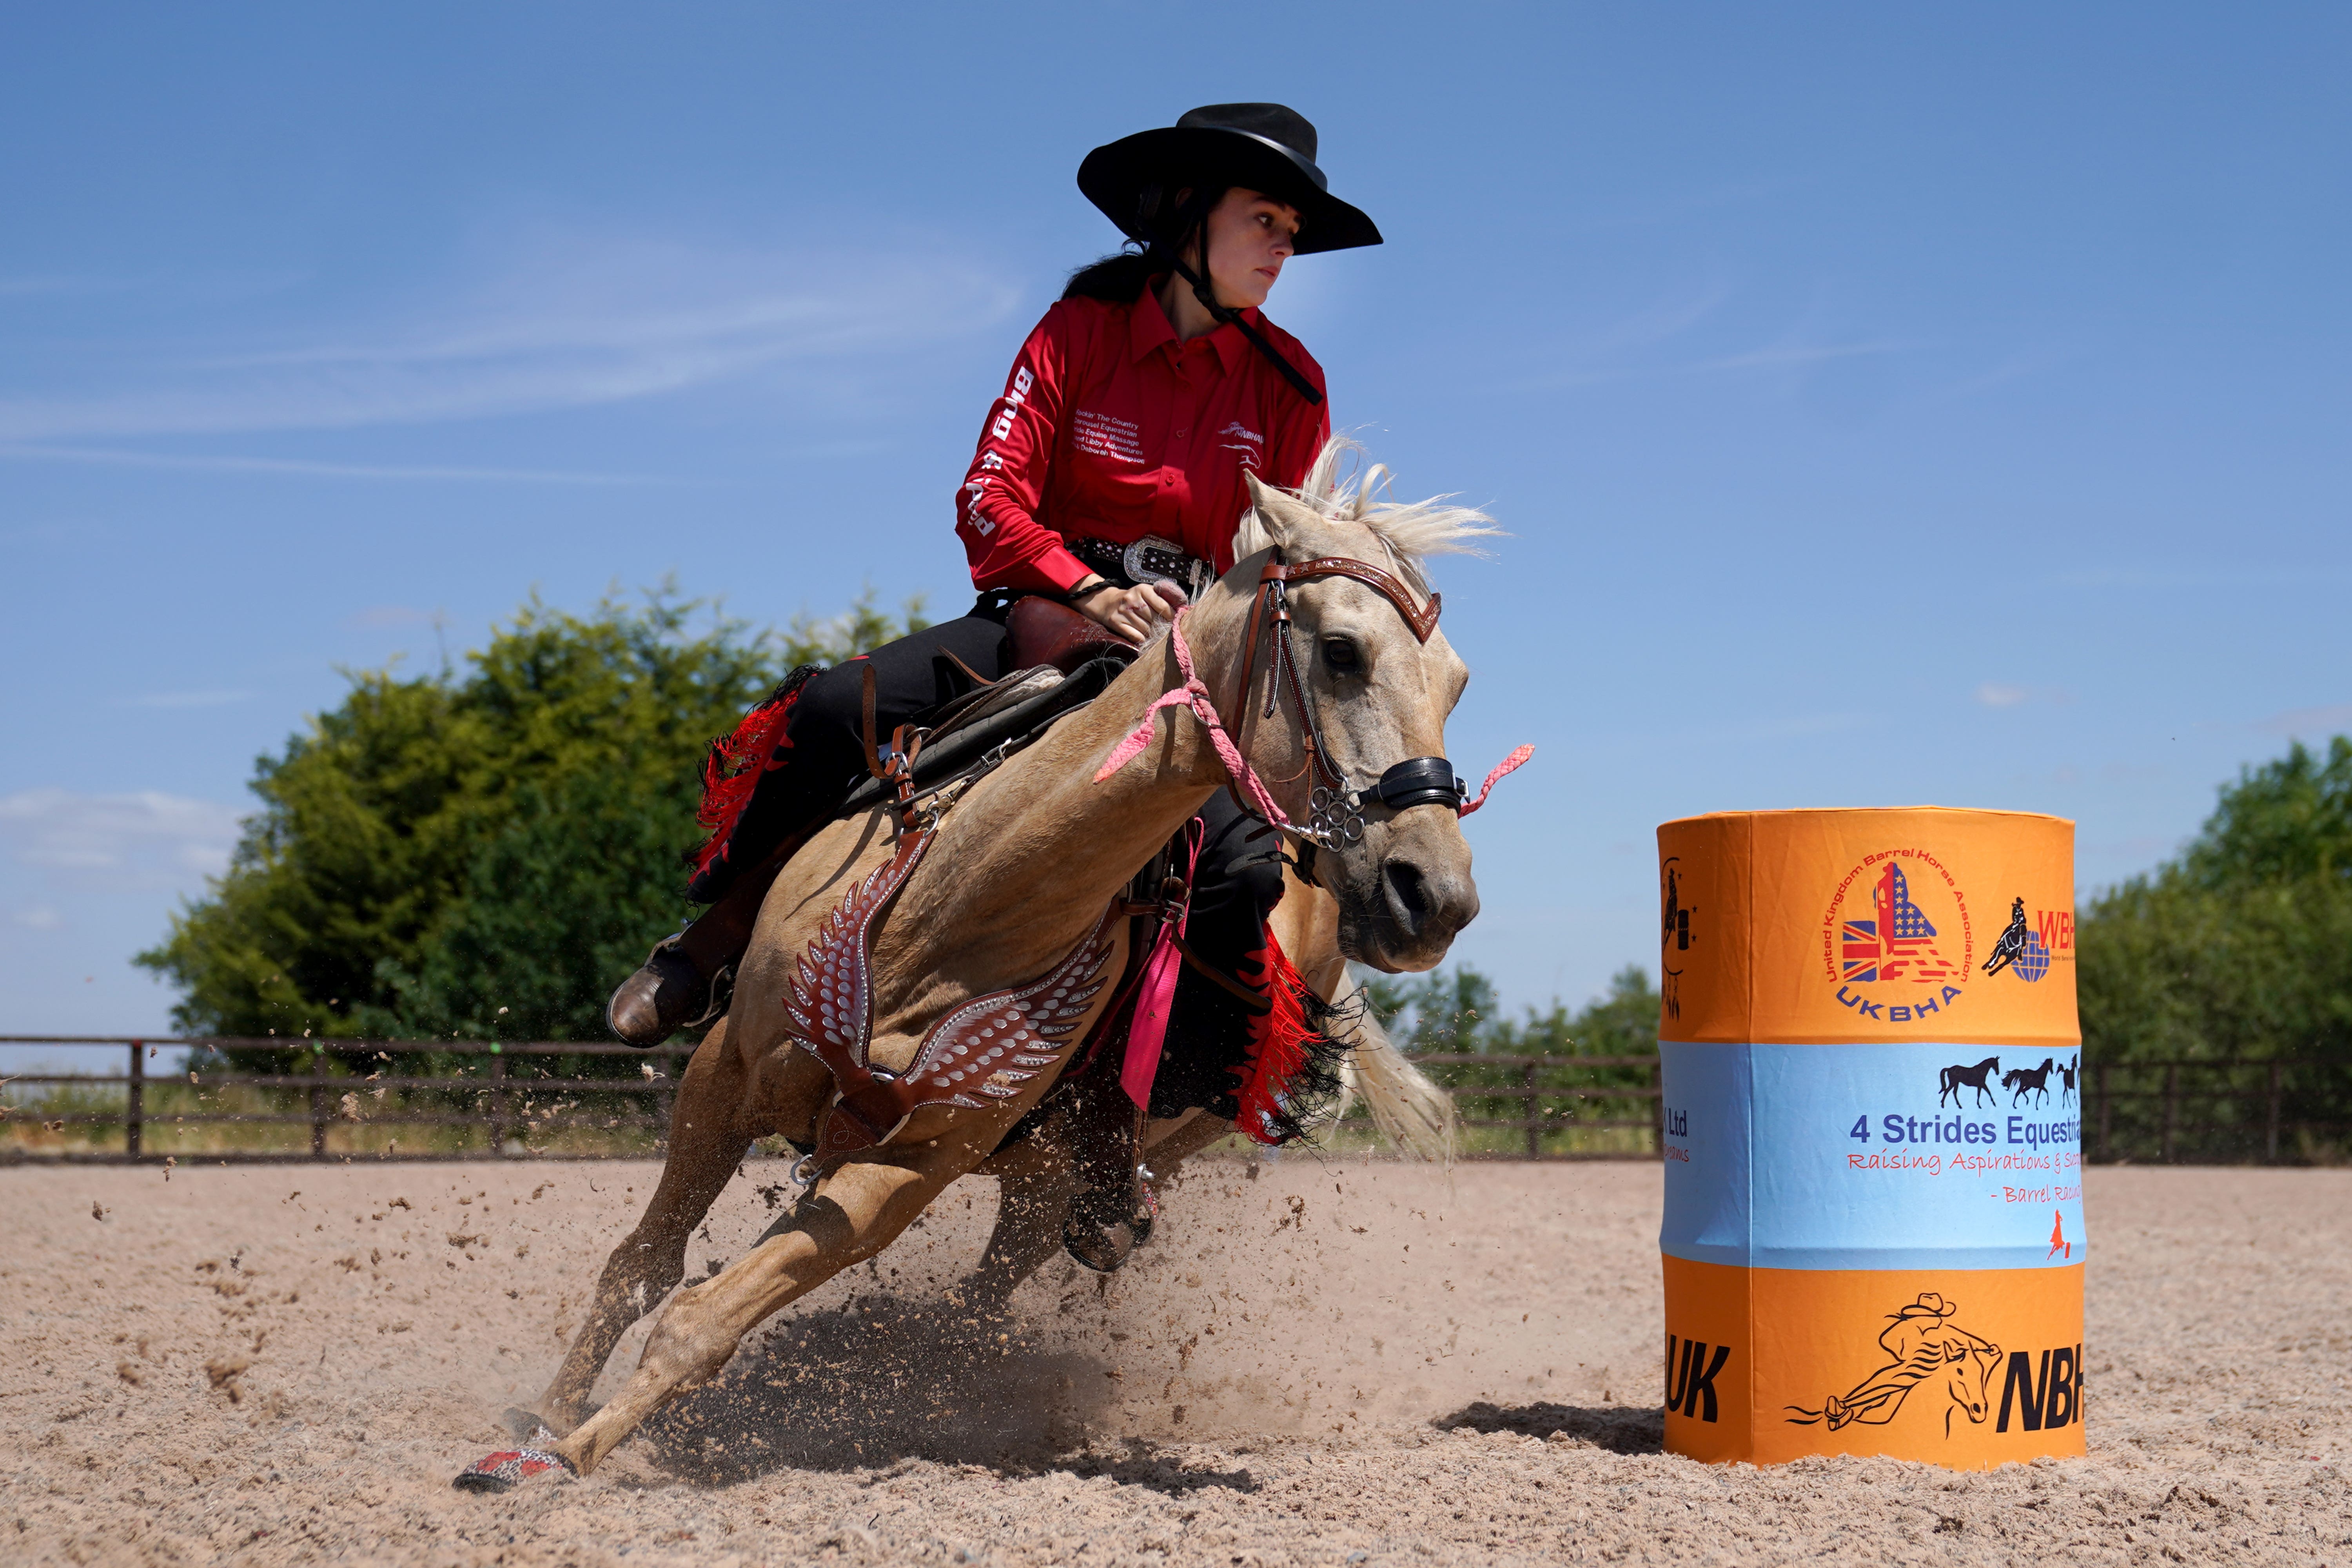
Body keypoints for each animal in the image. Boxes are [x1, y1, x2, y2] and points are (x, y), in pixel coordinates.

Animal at [470, 442, 1497, 1486]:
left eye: (1454, 682)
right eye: (1342, 650)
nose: (1433, 896)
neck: (954, 909)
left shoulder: (910, 1165)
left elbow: (703, 1317)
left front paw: (566, 1454)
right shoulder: (723, 1078)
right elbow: (644, 1263)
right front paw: (544, 1423)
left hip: (1067, 1186)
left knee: (978, 1307)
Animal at [1938, 1056, 2001, 1109]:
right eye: (1996, 1064)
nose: (1998, 1073)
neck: (1981, 1071)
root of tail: (1949, 1069)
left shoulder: (1982, 1085)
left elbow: (1987, 1092)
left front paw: (1993, 1104)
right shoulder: (1981, 1085)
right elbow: (1981, 1094)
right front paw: (1980, 1106)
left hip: (1956, 1084)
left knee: (1954, 1093)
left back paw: (1959, 1106)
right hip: (1953, 1083)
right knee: (1947, 1091)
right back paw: (1943, 1105)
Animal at [2002, 1057, 2056, 1108]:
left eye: (2052, 1064)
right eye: (2051, 1064)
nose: (2052, 1072)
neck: (2041, 1074)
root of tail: (2022, 1073)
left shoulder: (2042, 1087)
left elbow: (2047, 1091)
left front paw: (2047, 1103)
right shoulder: (2041, 1087)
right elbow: (2038, 1096)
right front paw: (2037, 1107)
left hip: (2028, 1086)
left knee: (2022, 1091)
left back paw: (2027, 1102)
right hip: (2023, 1085)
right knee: (2019, 1092)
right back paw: (2015, 1106)